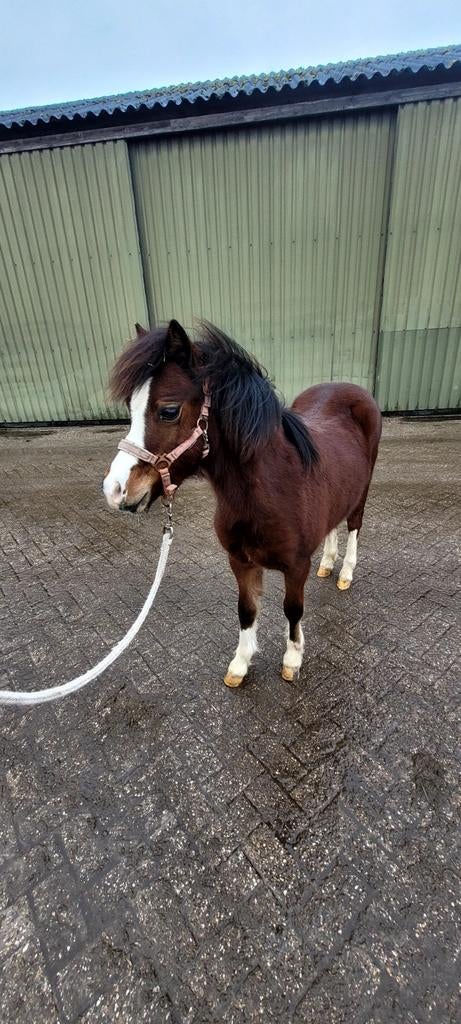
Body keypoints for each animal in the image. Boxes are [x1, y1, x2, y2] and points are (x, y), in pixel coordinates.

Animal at [104, 319, 382, 686]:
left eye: (169, 411)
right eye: (130, 409)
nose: (114, 489)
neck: (270, 491)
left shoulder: (296, 567)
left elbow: (293, 610)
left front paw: (292, 659)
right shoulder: (240, 561)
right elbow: (247, 610)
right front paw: (240, 663)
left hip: (362, 490)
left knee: (354, 525)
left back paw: (345, 572)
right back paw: (328, 563)